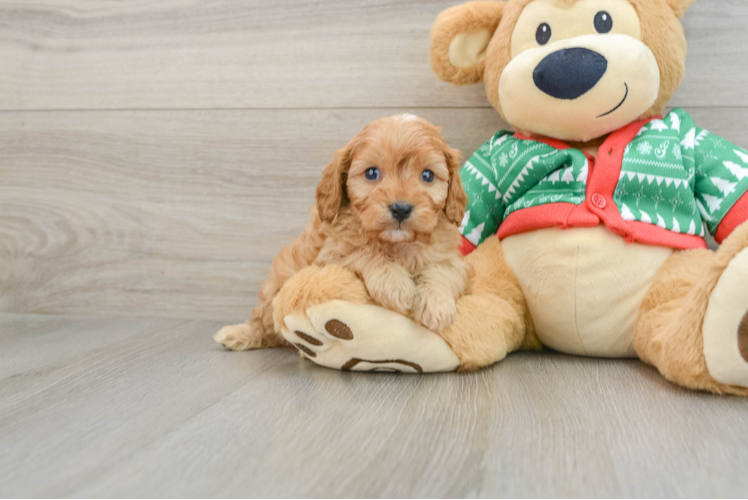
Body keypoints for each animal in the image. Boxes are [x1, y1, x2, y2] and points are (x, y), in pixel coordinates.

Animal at [216, 114, 470, 352]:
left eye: (427, 175)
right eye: (371, 173)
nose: (400, 208)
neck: (395, 243)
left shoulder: (449, 257)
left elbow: (442, 271)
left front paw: (436, 305)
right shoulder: (331, 254)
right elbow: (363, 252)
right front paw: (394, 283)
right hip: (274, 290)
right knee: (264, 324)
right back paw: (239, 334)